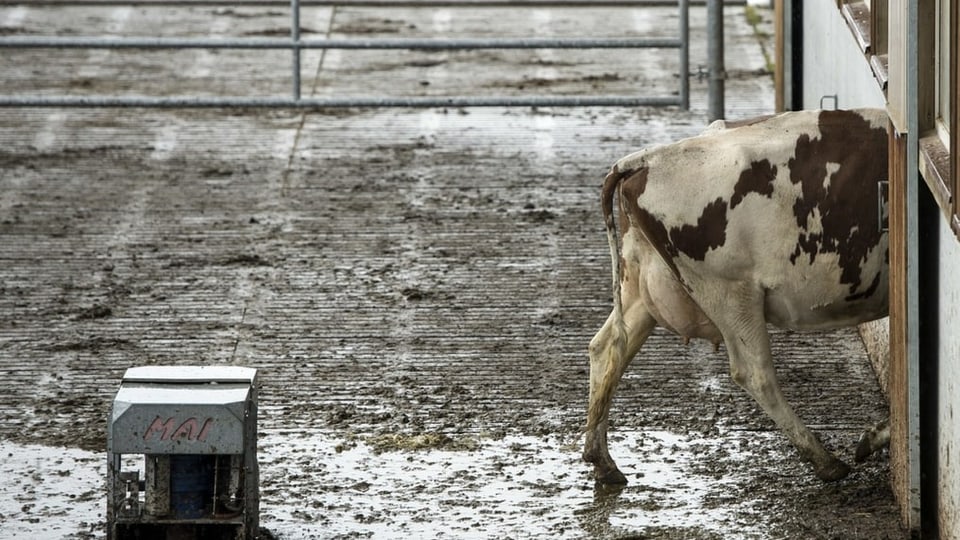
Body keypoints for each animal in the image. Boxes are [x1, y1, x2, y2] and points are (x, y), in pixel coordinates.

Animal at [584, 107, 892, 484]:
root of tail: (647, 159)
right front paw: (876, 436)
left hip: (641, 286)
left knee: (607, 348)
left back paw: (602, 460)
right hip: (729, 291)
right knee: (755, 372)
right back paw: (825, 460)